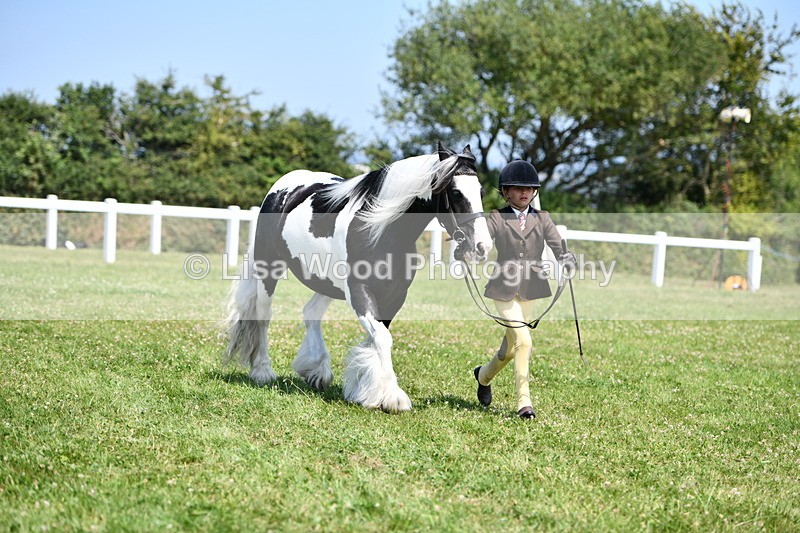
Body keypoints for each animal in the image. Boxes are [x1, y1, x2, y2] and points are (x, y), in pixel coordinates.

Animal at [224, 143, 492, 412]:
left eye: (480, 190)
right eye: (456, 192)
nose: (483, 246)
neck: (378, 229)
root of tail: (281, 188)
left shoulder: (394, 296)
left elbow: (376, 339)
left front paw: (364, 390)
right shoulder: (359, 292)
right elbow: (382, 338)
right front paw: (392, 397)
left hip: (328, 283)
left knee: (311, 312)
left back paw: (317, 370)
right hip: (269, 269)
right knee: (263, 315)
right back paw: (262, 371)